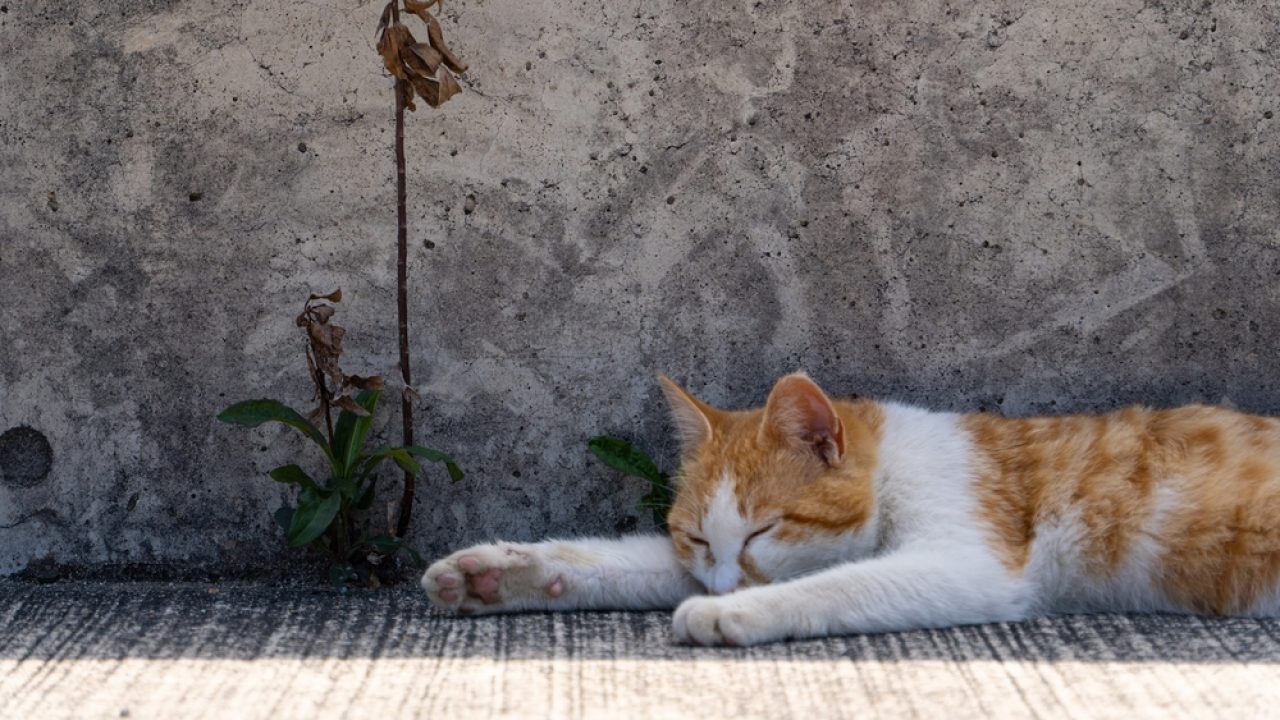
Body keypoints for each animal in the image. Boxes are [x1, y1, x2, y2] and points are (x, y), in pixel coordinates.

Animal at [422, 368, 1280, 645]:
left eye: (767, 529)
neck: (893, 468)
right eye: (697, 539)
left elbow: (838, 584)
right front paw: (497, 574)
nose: (724, 585)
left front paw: (728, 613)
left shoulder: (970, 563)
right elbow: (615, 561)